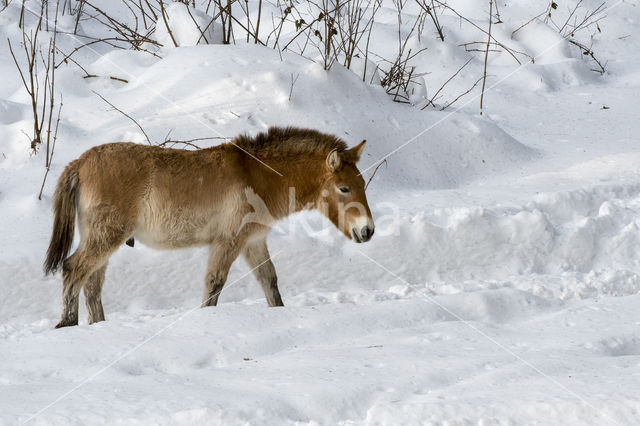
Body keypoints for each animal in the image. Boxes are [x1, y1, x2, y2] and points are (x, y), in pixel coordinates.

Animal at [43, 125, 376, 326]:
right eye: (344, 188)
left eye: (362, 184)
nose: (368, 231)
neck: (258, 176)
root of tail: (79, 164)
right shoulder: (228, 242)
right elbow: (214, 284)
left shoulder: (253, 243)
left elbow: (270, 282)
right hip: (105, 238)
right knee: (73, 270)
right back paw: (67, 324)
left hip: (102, 240)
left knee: (92, 286)